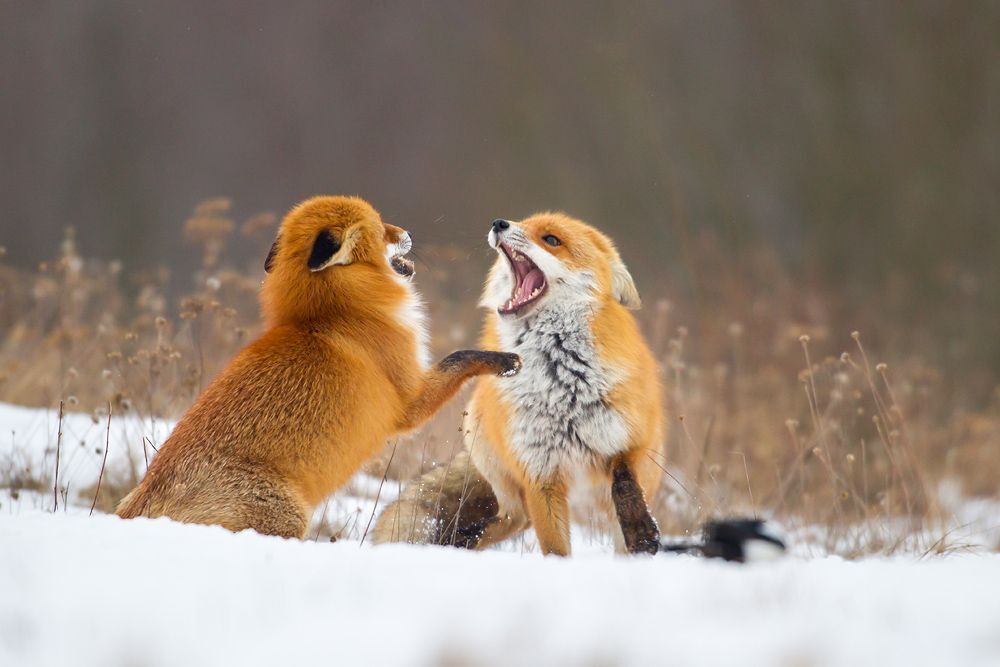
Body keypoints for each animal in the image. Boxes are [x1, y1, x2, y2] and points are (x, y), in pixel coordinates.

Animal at [116, 196, 521, 538]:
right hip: (289, 518)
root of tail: (141, 506)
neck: (333, 313)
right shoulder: (409, 403)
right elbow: (461, 357)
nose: (407, 232)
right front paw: (503, 360)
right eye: (380, 228)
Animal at [374, 213, 664, 555]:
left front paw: (641, 528)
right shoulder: (539, 474)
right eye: (523, 222)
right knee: (508, 516)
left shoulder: (631, 440)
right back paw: (459, 540)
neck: (560, 385)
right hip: (490, 454)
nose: (499, 223)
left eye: (551, 240)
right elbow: (555, 548)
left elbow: (625, 478)